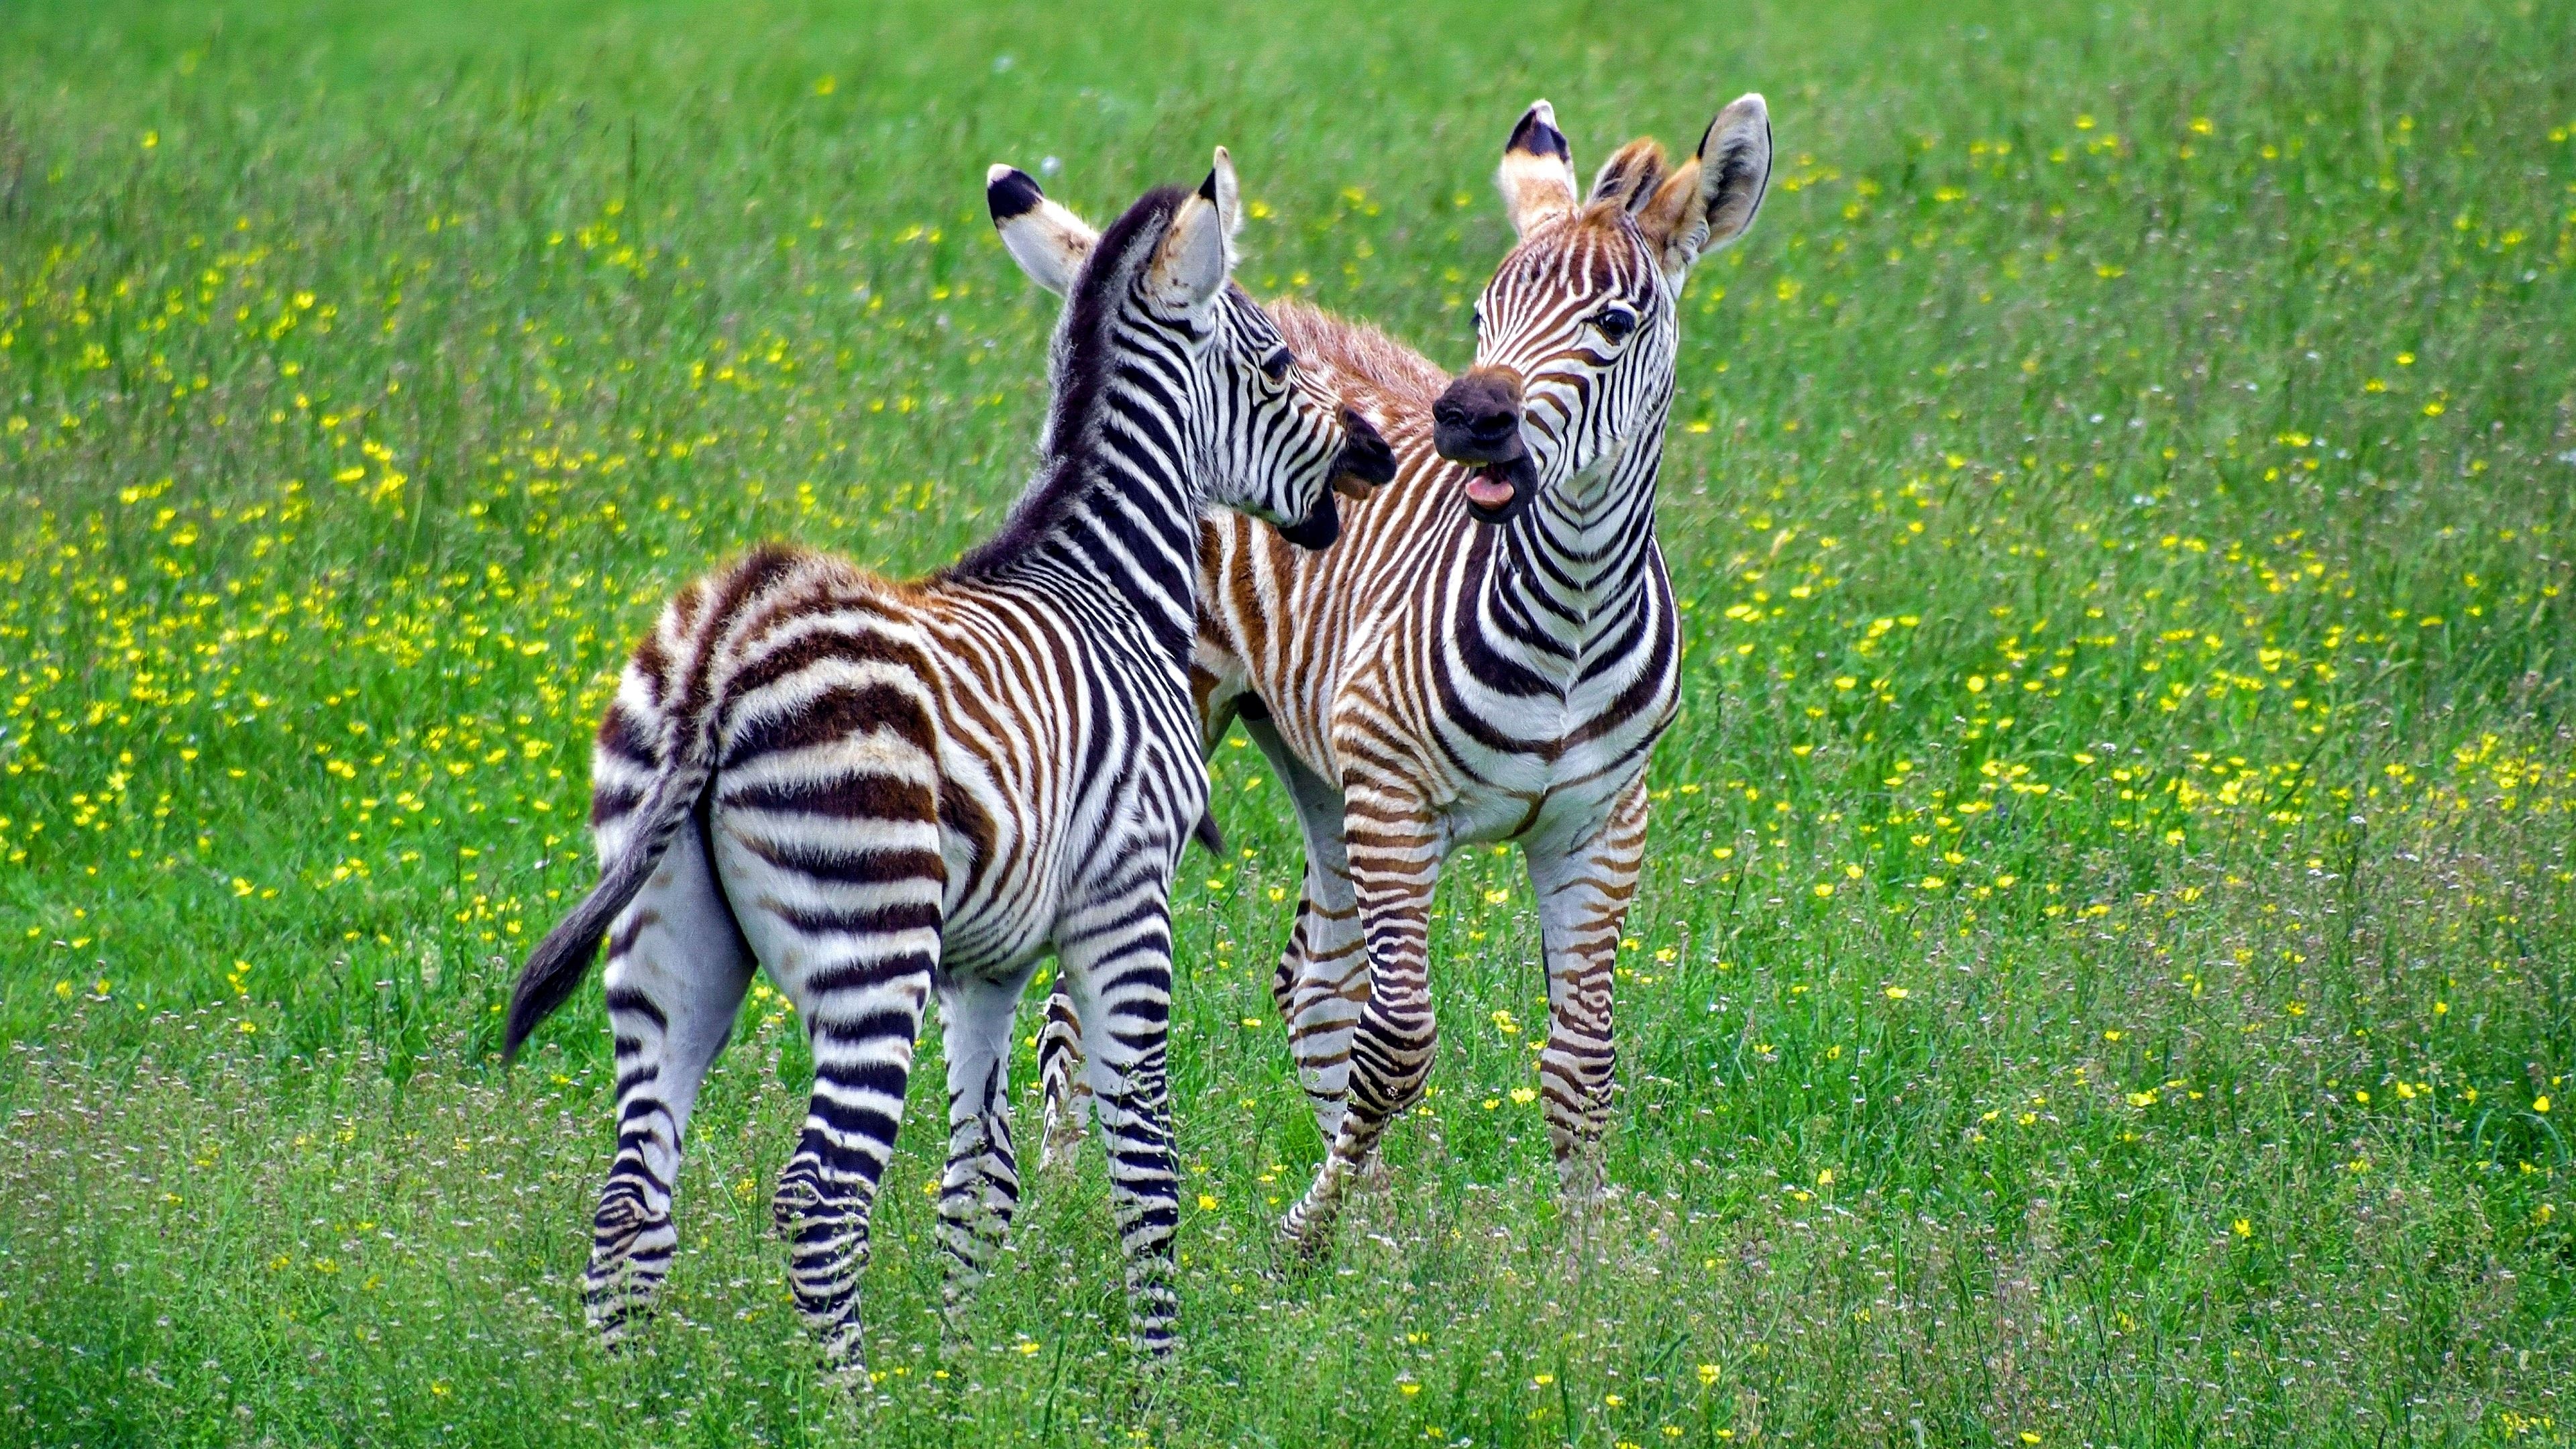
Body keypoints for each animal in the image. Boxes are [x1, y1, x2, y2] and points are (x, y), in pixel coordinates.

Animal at [499, 149, 1391, 1371]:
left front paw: (965, 1372)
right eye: (1278, 363)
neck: (1107, 580)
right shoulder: (1126, 903)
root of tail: (725, 645)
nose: (1376, 456)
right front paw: (1159, 1376)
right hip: (870, 943)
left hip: (669, 944)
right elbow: (1148, 1167)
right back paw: (851, 1398)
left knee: (633, 1192)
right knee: (820, 1194)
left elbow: (980, 1181)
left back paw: (623, 1394)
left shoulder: (991, 961)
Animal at [1030, 93, 1772, 1242]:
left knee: (1311, 987)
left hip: (1316, 762)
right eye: (1479, 316)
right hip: (1197, 725)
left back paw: (1376, 1225)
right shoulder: (1397, 799)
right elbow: (1400, 1044)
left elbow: (1582, 1063)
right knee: (1087, 997)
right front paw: (1302, 1241)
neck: (1571, 611)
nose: (1465, 417)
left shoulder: (1603, 820)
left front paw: (1581, 1257)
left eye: (1614, 325)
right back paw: (1063, 1199)